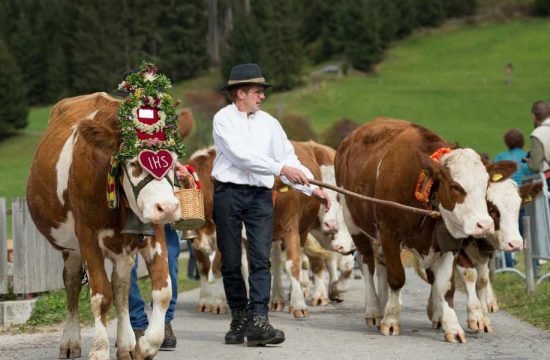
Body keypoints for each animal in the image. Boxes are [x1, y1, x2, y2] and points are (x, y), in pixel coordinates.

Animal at [27, 93, 193, 360]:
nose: (167, 208)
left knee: (121, 287)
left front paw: (146, 345)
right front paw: (99, 349)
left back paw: (126, 344)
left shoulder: (153, 232)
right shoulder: (87, 235)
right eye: (134, 163)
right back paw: (70, 342)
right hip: (71, 247)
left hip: (122, 248)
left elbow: (163, 290)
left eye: (174, 161)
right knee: (72, 284)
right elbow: (100, 295)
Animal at [336, 116, 516, 342]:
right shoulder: (388, 231)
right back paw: (374, 310)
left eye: (485, 186)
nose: (484, 224)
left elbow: (445, 286)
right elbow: (397, 278)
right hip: (354, 222)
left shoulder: (449, 242)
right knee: (367, 262)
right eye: (455, 186)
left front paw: (452, 326)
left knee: (381, 263)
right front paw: (391, 320)